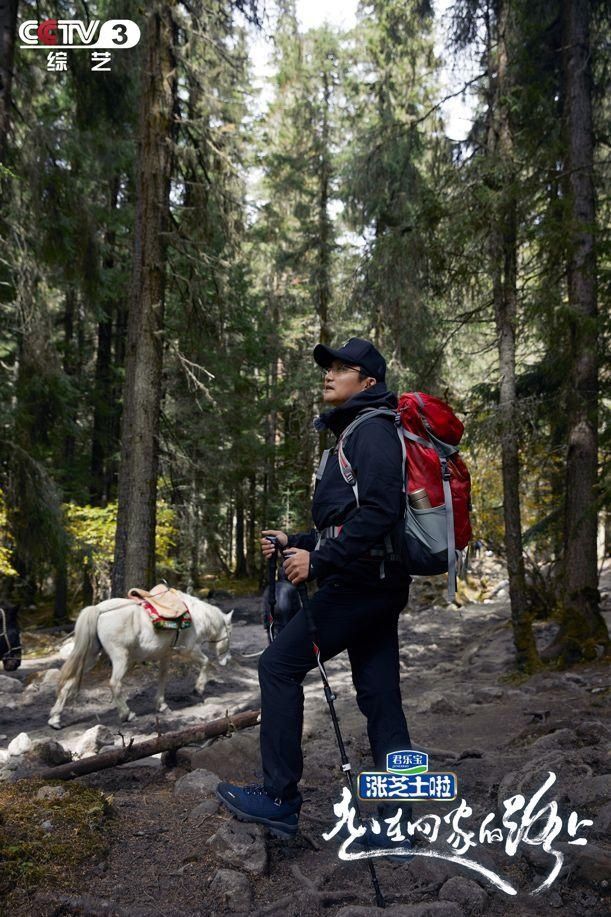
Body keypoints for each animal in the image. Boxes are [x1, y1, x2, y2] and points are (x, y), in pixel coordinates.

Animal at [47, 592, 233, 728]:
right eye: (229, 632)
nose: (227, 659)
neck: (197, 617)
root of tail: (99, 609)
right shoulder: (189, 650)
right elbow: (206, 662)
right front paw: (198, 688)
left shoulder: (165, 654)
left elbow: (163, 677)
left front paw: (161, 705)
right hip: (120, 657)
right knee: (114, 683)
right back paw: (126, 714)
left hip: (91, 656)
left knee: (69, 681)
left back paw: (55, 719)